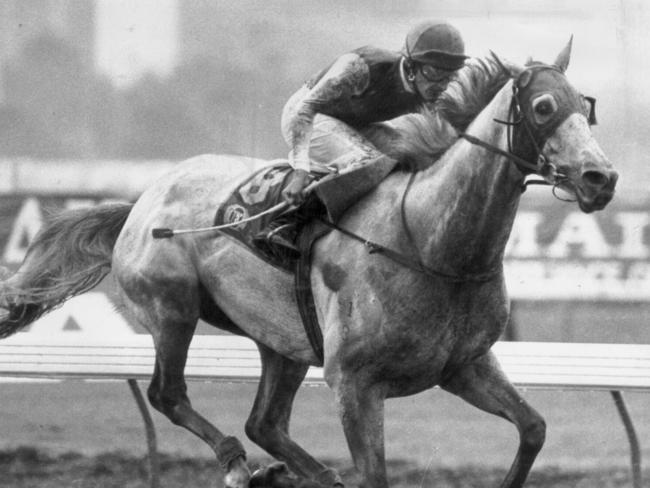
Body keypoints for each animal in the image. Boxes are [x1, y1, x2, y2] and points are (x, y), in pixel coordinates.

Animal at [0, 39, 616, 488]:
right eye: (543, 106)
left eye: (586, 107)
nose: (601, 178)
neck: (430, 243)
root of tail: (139, 203)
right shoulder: (355, 384)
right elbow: (375, 475)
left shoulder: (465, 365)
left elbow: (533, 429)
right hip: (171, 308)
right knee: (168, 395)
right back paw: (237, 463)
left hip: (282, 341)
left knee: (265, 422)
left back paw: (292, 473)